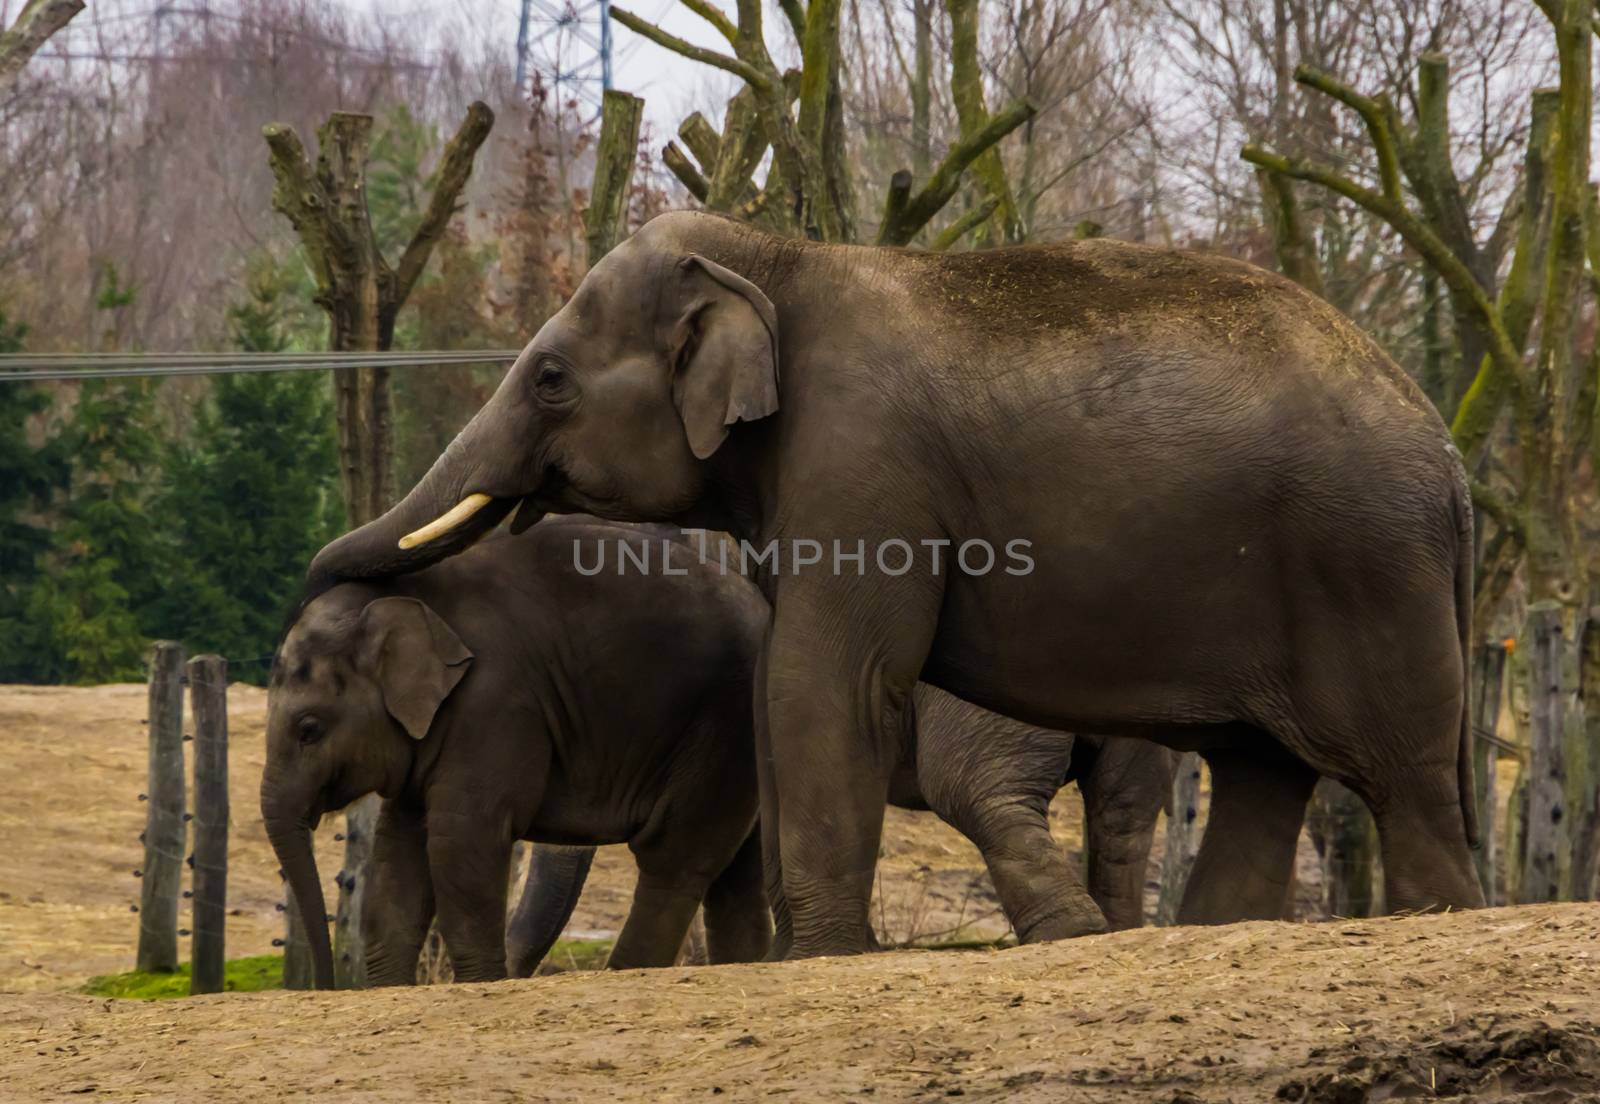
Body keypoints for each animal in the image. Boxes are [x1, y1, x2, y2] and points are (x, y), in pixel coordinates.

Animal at [302, 208, 1484, 953]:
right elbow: (781, 690)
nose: (323, 597)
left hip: (1365, 569)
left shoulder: (860, 466)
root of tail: (1451, 456)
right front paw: (802, 951)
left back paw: (1433, 916)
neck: (777, 257)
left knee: (1400, 777)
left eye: (550, 380)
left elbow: (822, 679)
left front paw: (821, 957)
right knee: (1255, 773)